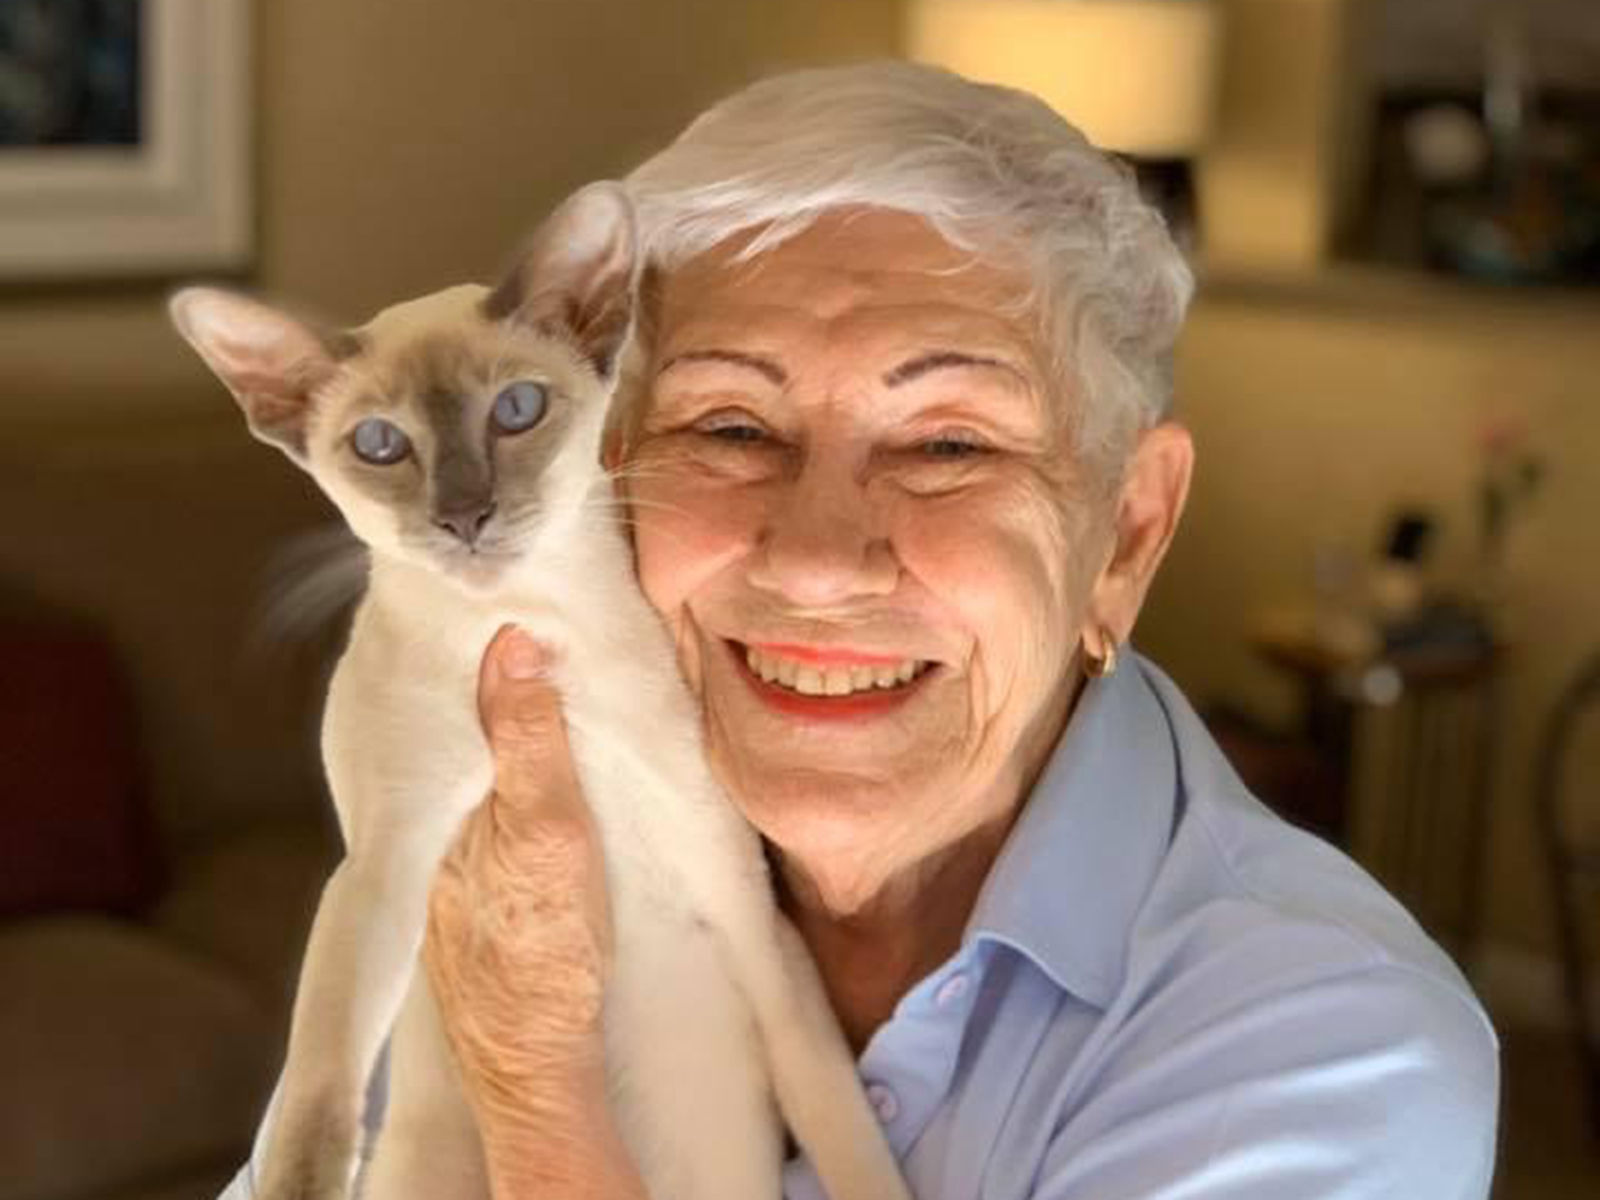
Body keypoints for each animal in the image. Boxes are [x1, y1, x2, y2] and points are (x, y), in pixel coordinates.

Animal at [173, 183, 908, 1200]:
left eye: (516, 410)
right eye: (380, 444)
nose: (465, 516)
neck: (527, 624)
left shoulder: (751, 918)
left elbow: (851, 1142)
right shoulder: (386, 865)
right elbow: (317, 1084)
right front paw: (301, 1182)